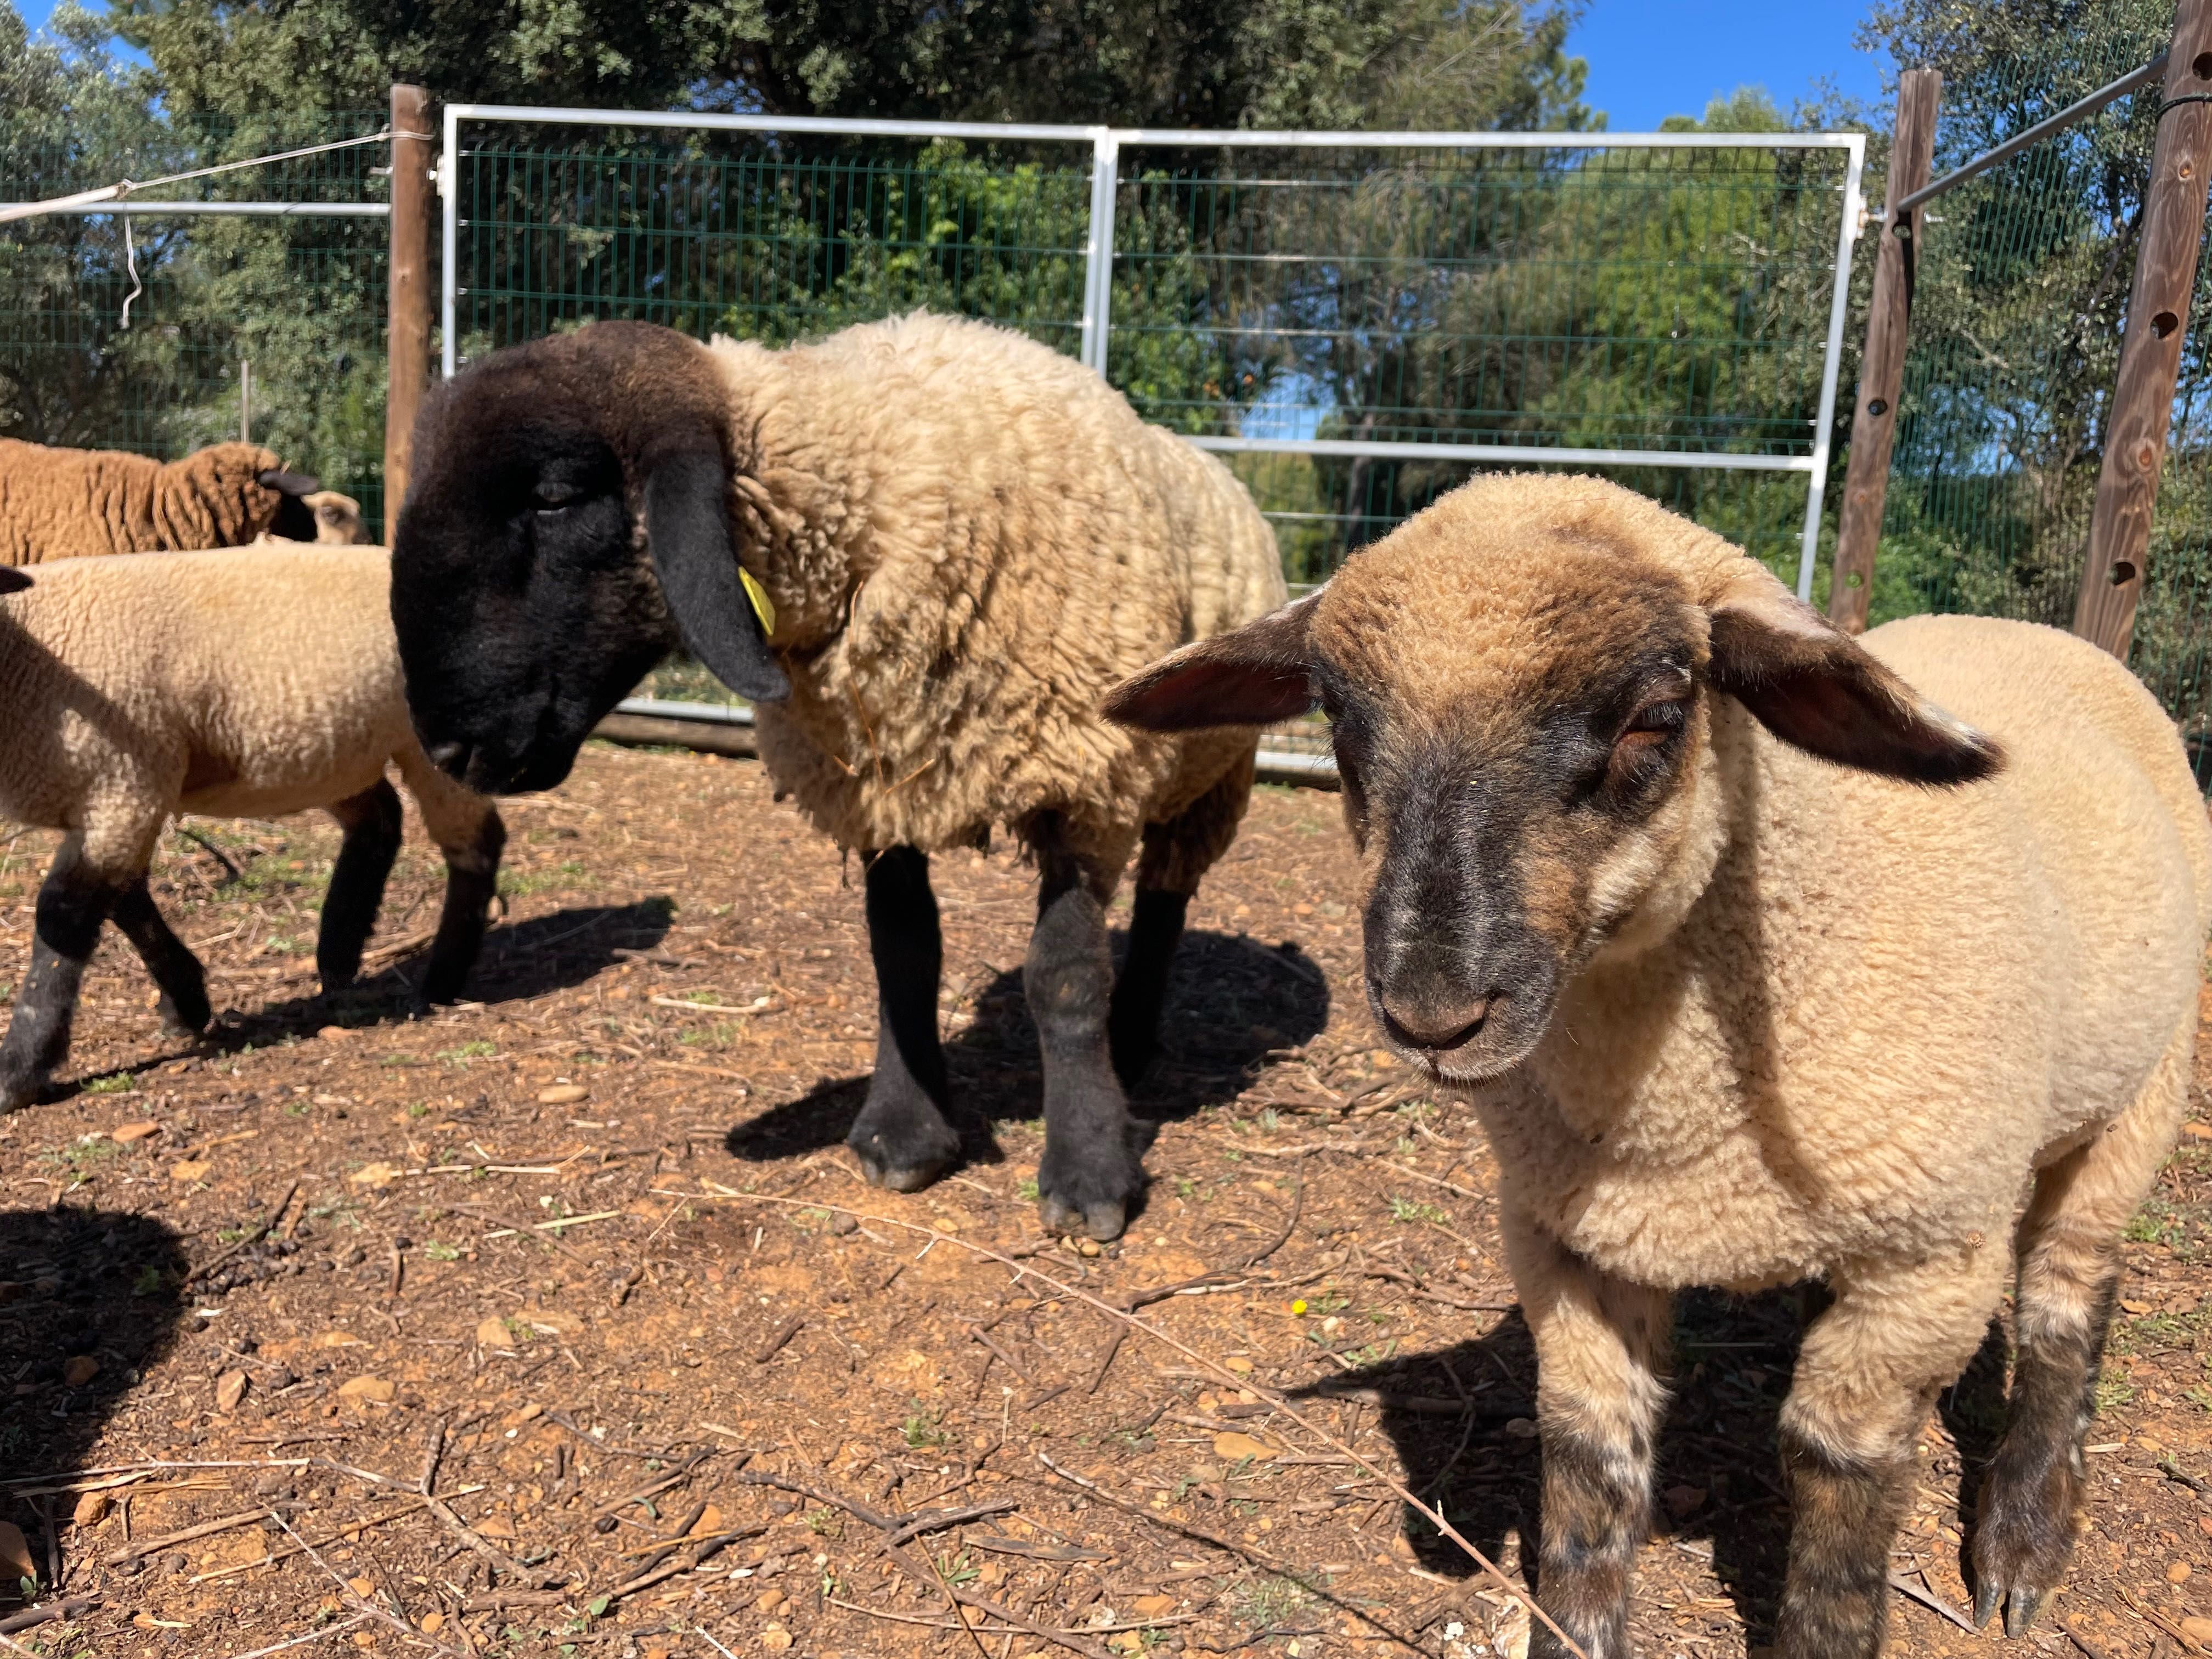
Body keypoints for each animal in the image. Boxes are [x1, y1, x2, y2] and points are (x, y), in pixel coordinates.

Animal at [0, 548, 506, 1119]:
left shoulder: (124, 785)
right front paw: (187, 1006)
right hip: (333, 746)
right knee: (381, 820)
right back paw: (339, 955)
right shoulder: (116, 800)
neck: (27, 657)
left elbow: (63, 916)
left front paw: (19, 1074)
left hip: (432, 738)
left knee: (473, 843)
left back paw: (439, 980)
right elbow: (127, 904)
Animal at [389, 314, 1291, 1248]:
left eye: (556, 496)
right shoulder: (879, 786)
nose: (448, 749)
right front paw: (904, 1134)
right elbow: (903, 953)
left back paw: (1135, 1038)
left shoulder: (1084, 781)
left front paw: (1088, 1173)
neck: (886, 497)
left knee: (1165, 899)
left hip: (1210, 777)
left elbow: (1065, 975)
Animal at [1106, 473, 2212, 1654]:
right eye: (1339, 724)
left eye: (1657, 717)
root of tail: (2023, 627)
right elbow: (1589, 1460)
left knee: (2066, 1300)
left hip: (2138, 1096)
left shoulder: (1928, 1262)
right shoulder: (1568, 1235)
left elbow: (1842, 1480)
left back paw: (2021, 1551)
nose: (1431, 1011)